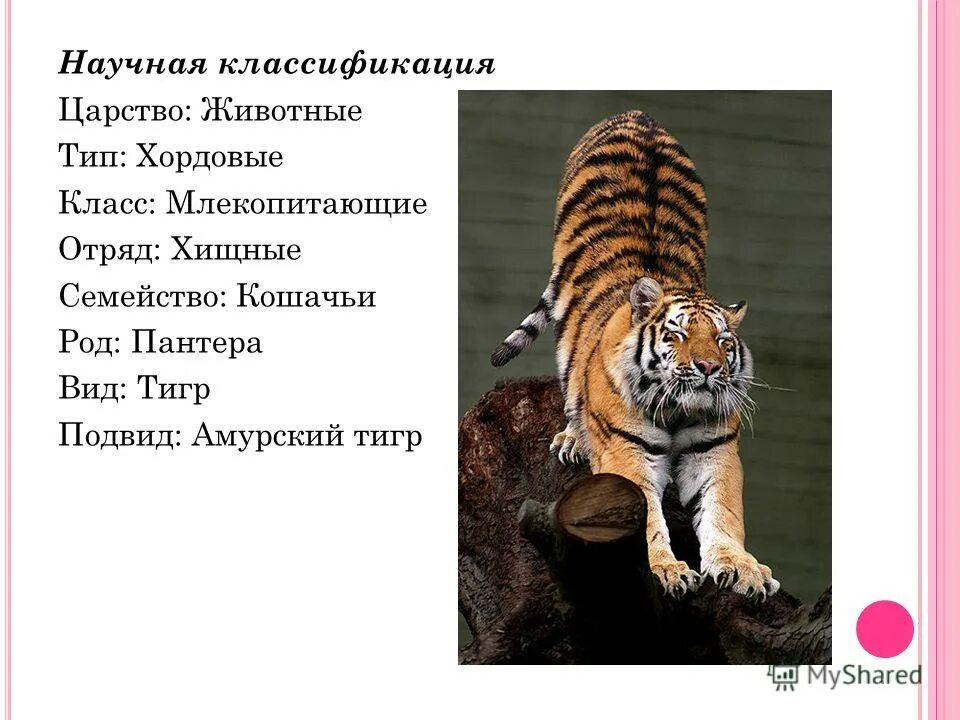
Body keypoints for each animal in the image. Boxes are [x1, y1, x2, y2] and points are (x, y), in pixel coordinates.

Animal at [490, 110, 780, 601]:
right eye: (678, 334)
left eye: (722, 341)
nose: (708, 368)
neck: (680, 410)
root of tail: (637, 116)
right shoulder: (627, 452)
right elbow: (643, 515)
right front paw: (665, 569)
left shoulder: (714, 450)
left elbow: (724, 512)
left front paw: (741, 568)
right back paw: (573, 438)